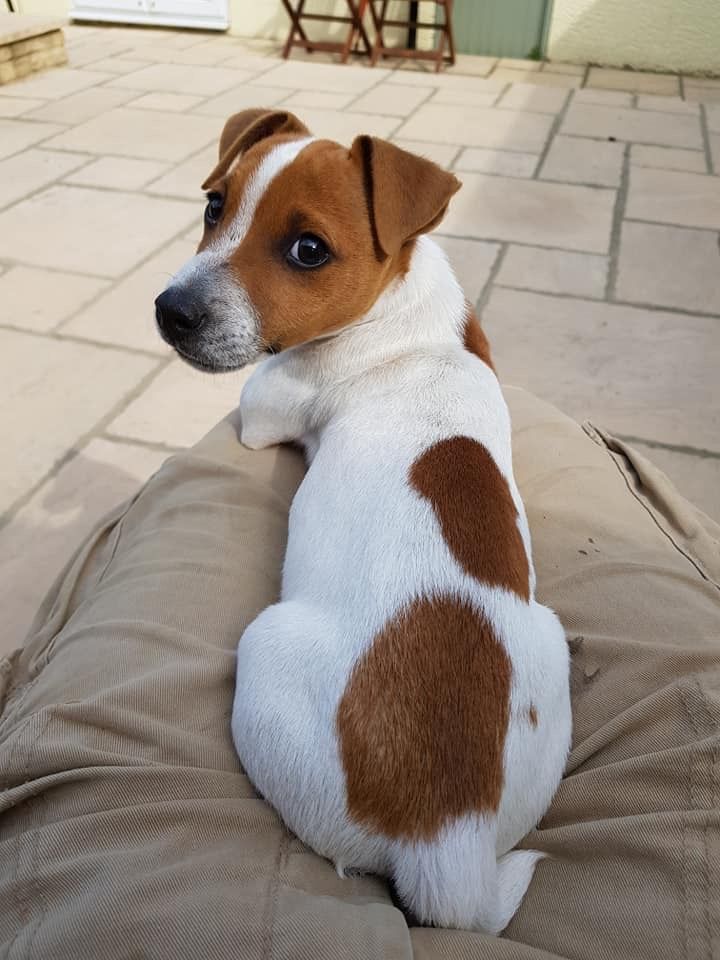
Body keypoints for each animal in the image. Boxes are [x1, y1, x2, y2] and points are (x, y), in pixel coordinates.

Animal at [155, 109, 572, 932]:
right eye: (215, 206)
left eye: (308, 250)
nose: (169, 312)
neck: (399, 315)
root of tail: (447, 840)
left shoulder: (264, 408)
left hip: (264, 648)